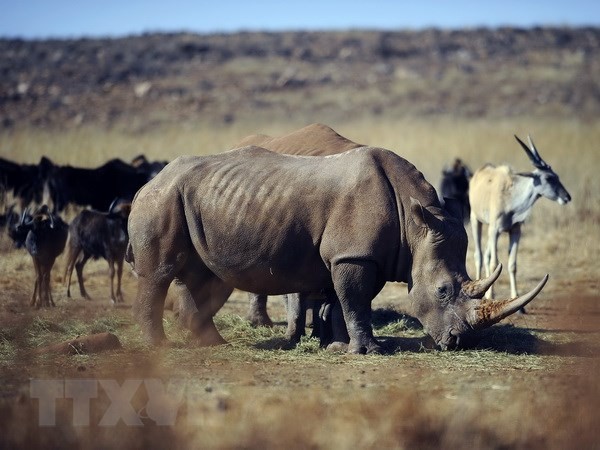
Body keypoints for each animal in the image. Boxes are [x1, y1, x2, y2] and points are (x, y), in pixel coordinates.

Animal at [468, 134, 572, 310]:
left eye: (557, 176)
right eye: (548, 177)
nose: (567, 197)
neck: (510, 198)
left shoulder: (515, 230)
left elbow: (512, 264)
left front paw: (519, 303)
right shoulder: (495, 230)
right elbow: (494, 263)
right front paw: (490, 297)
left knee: (487, 255)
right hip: (477, 221)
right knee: (480, 256)